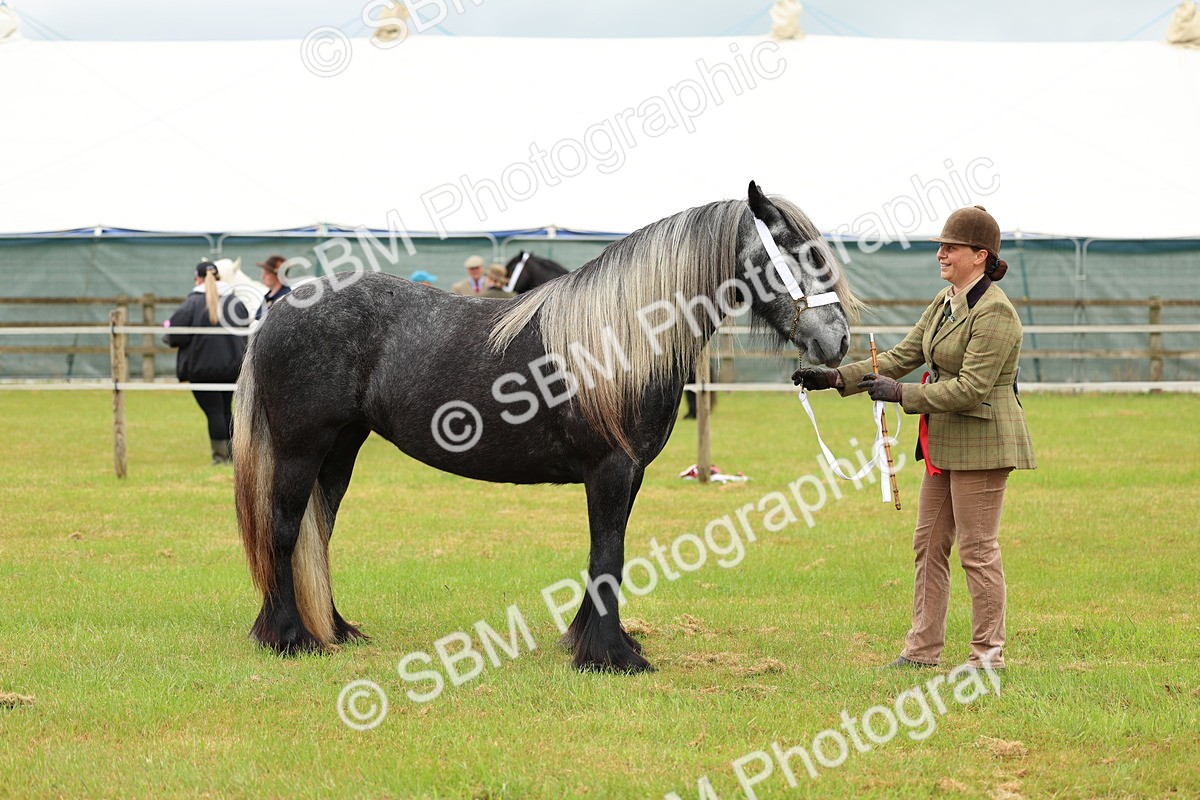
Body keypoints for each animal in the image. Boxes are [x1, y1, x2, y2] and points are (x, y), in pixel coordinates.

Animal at [233, 182, 860, 673]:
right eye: (796, 253)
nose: (837, 341)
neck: (618, 339)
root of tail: (284, 306)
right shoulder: (610, 470)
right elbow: (609, 554)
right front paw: (612, 658)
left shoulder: (628, 473)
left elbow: (606, 551)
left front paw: (591, 641)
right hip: (300, 449)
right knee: (283, 530)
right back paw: (289, 638)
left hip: (339, 450)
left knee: (317, 532)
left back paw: (333, 629)